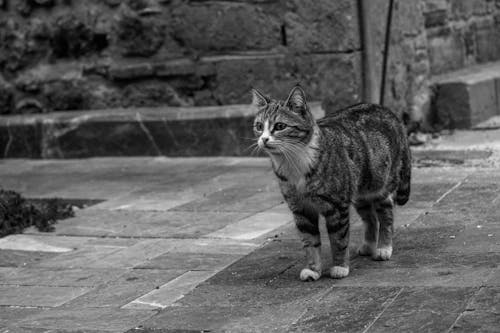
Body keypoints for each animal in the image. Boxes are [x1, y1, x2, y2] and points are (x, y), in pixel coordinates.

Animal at [252, 84, 412, 278]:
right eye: (259, 126)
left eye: (280, 126)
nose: (264, 139)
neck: (294, 163)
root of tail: (388, 112)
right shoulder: (301, 209)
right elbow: (310, 242)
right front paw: (313, 270)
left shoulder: (337, 205)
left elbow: (338, 240)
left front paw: (340, 267)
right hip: (359, 191)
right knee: (370, 218)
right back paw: (368, 246)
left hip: (380, 184)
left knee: (386, 213)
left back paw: (384, 248)